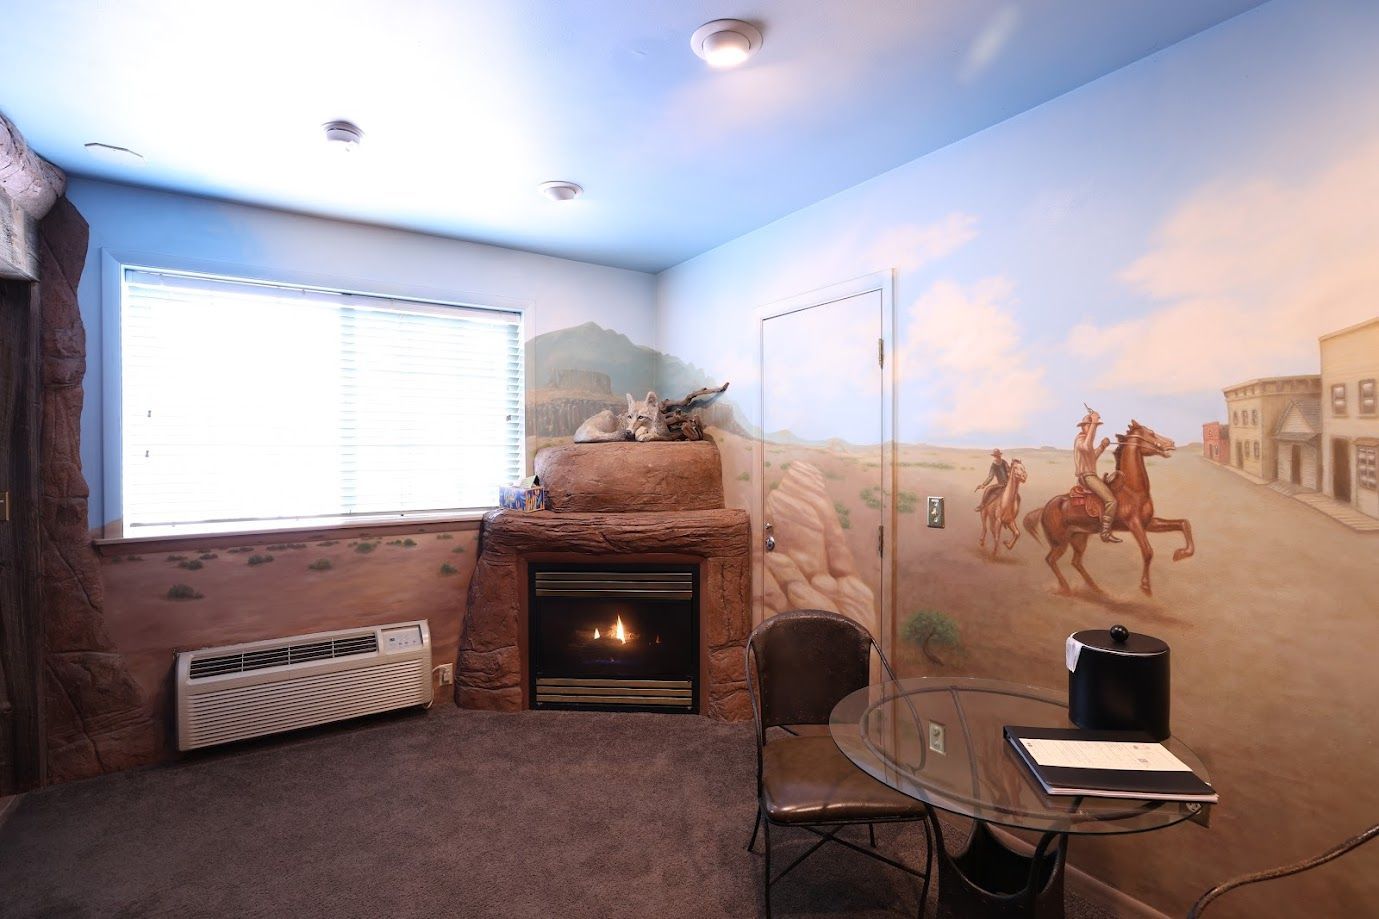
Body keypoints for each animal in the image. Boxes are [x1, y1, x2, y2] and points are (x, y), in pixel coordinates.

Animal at [1025, 419, 1196, 593]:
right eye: (1151, 433)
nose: (1172, 443)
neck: (1132, 490)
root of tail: (1044, 508)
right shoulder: (1134, 524)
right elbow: (1148, 551)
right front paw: (1145, 585)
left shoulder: (1148, 523)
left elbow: (1183, 523)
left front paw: (1181, 554)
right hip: (1060, 542)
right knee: (1050, 559)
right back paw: (1066, 587)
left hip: (1079, 538)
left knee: (1075, 561)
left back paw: (1095, 587)